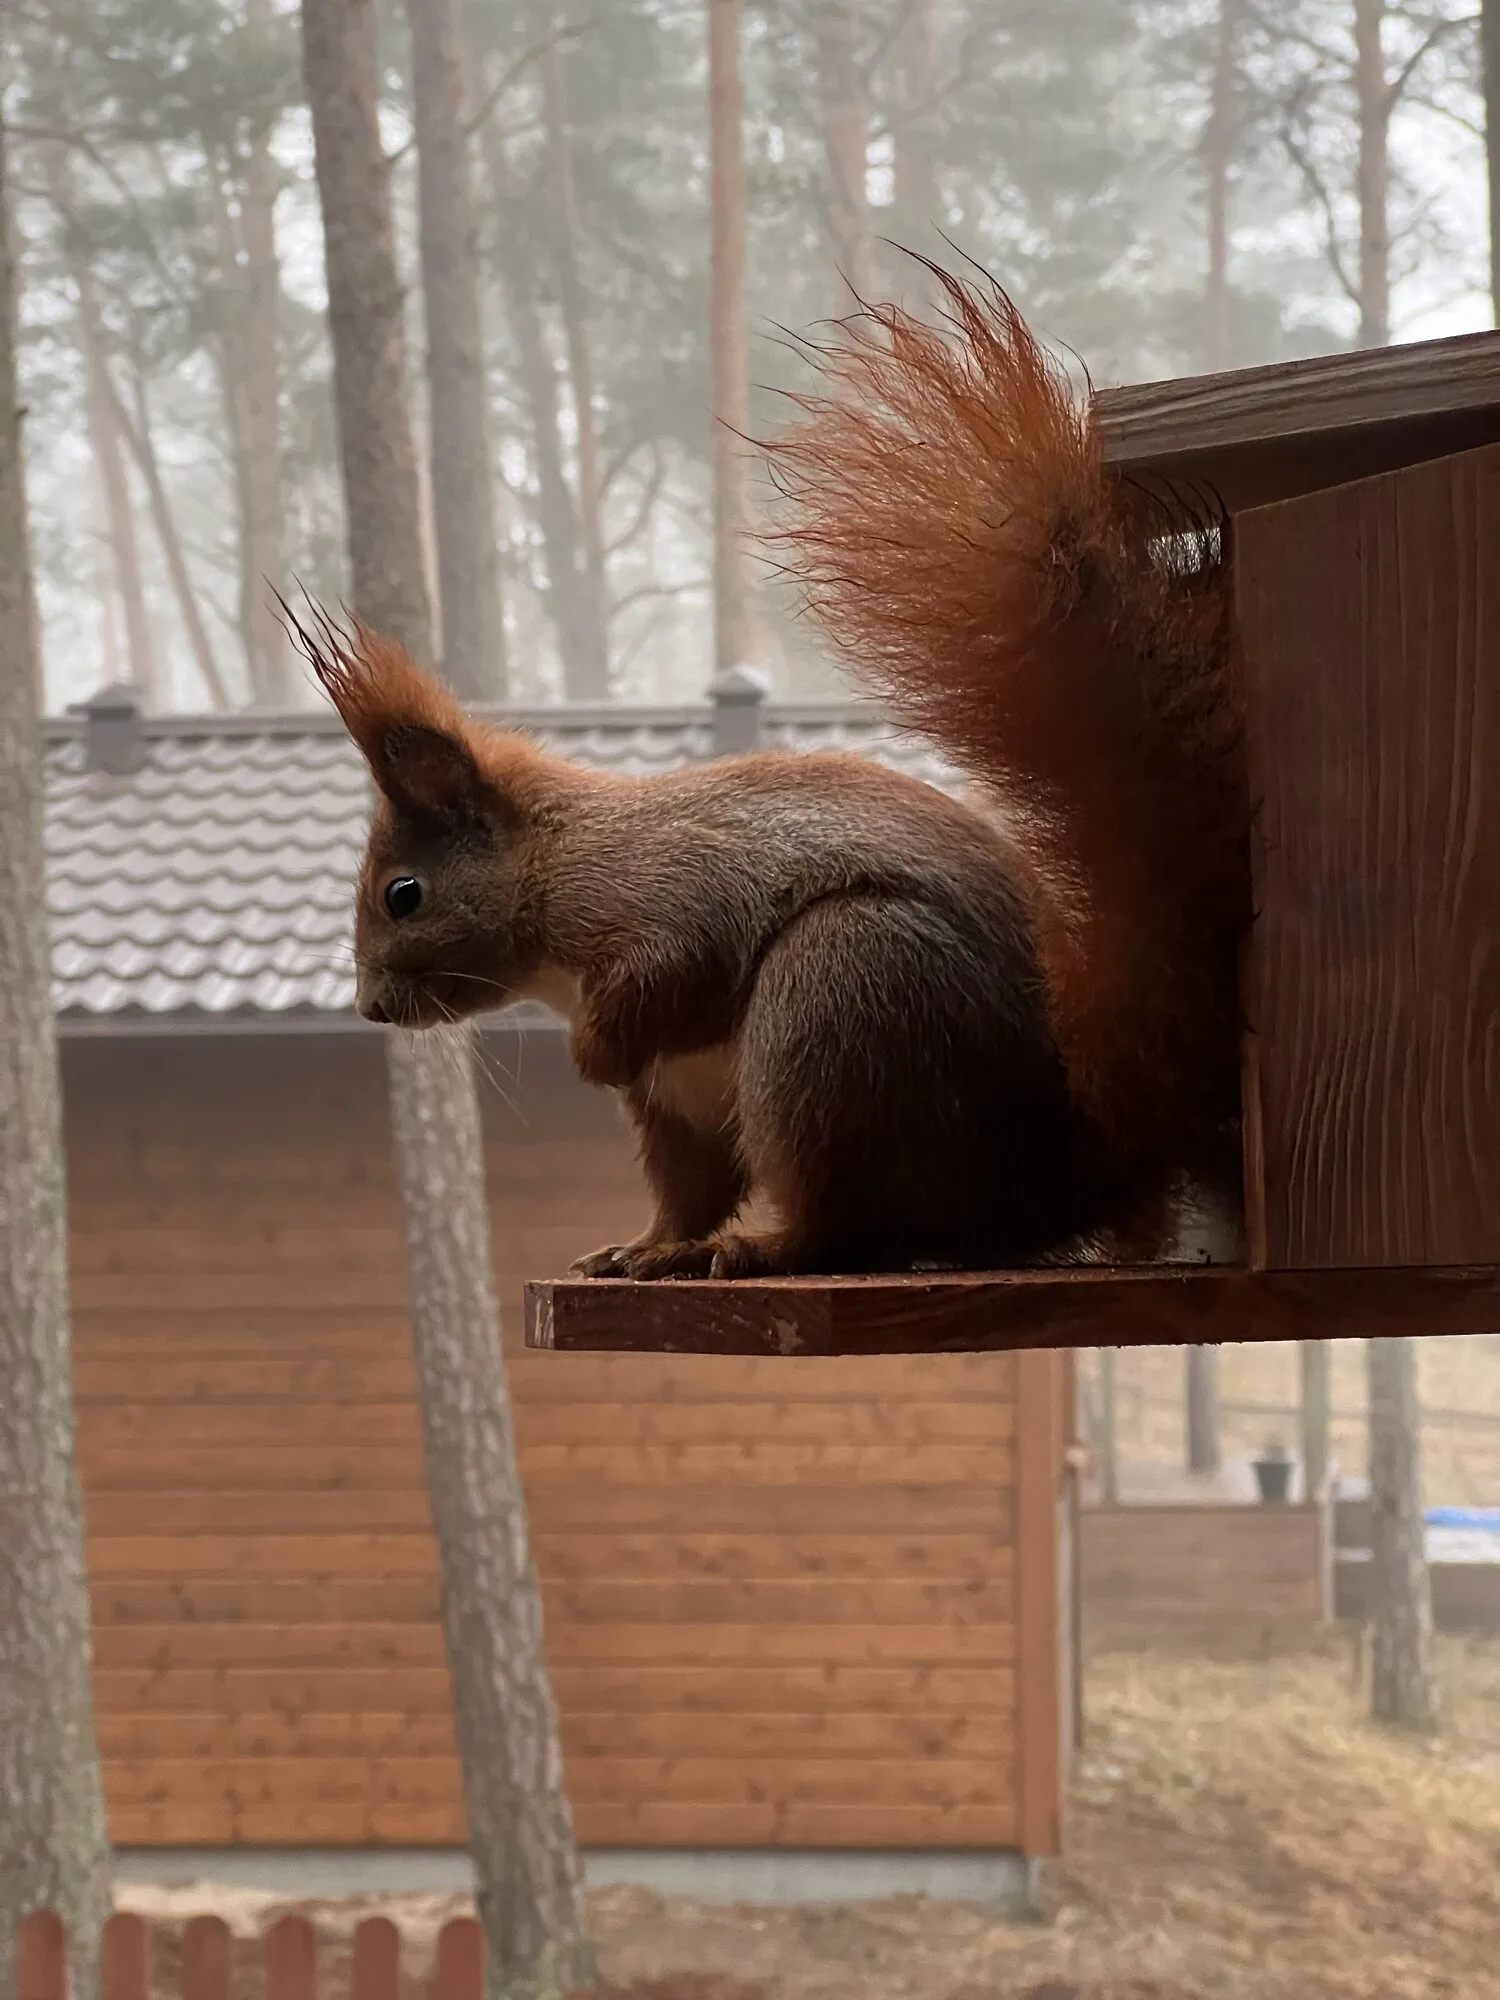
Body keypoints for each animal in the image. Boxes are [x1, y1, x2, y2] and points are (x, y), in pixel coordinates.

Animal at [295, 268, 1250, 1280]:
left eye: (403, 894)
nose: (370, 1010)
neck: (554, 864)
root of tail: (1064, 1173)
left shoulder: (666, 893)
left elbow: (676, 966)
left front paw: (592, 1054)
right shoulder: (668, 1095)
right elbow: (687, 1182)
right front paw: (639, 1240)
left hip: (836, 1003)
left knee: (843, 1224)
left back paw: (760, 1248)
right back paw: (659, 1252)